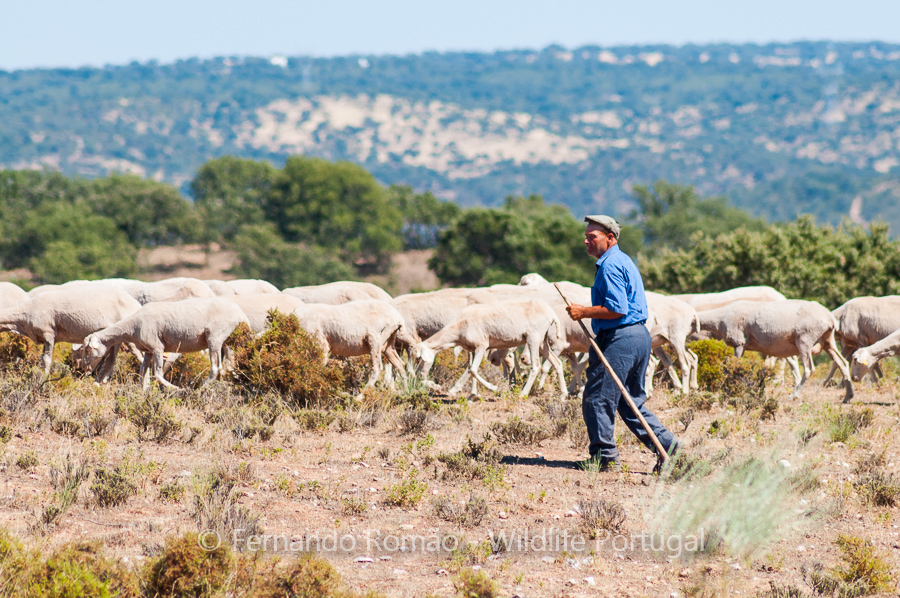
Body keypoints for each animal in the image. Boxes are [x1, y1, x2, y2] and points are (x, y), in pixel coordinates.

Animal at [0, 287, 142, 379]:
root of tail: (136, 304)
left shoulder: (48, 333)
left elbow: (46, 360)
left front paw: (42, 380)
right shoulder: (45, 337)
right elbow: (41, 361)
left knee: (141, 357)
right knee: (110, 362)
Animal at [76, 298, 249, 390]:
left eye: (87, 350)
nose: (83, 368)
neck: (132, 327)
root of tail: (240, 313)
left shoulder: (157, 347)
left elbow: (158, 374)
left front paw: (176, 388)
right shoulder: (148, 350)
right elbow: (142, 371)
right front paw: (141, 391)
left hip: (215, 337)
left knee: (215, 368)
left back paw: (199, 389)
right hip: (228, 341)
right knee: (227, 367)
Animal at [411, 298, 568, 399]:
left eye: (419, 358)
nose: (416, 376)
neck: (461, 323)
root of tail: (551, 314)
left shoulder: (482, 346)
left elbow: (473, 370)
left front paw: (495, 388)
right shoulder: (472, 349)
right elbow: (470, 369)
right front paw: (467, 394)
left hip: (533, 338)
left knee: (535, 366)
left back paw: (522, 394)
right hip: (543, 342)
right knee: (557, 363)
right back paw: (563, 395)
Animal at [698, 299, 853, 401]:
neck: (719, 320)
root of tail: (829, 317)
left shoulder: (739, 342)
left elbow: (732, 367)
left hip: (805, 340)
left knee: (809, 370)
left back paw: (793, 395)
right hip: (828, 341)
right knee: (843, 363)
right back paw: (848, 396)